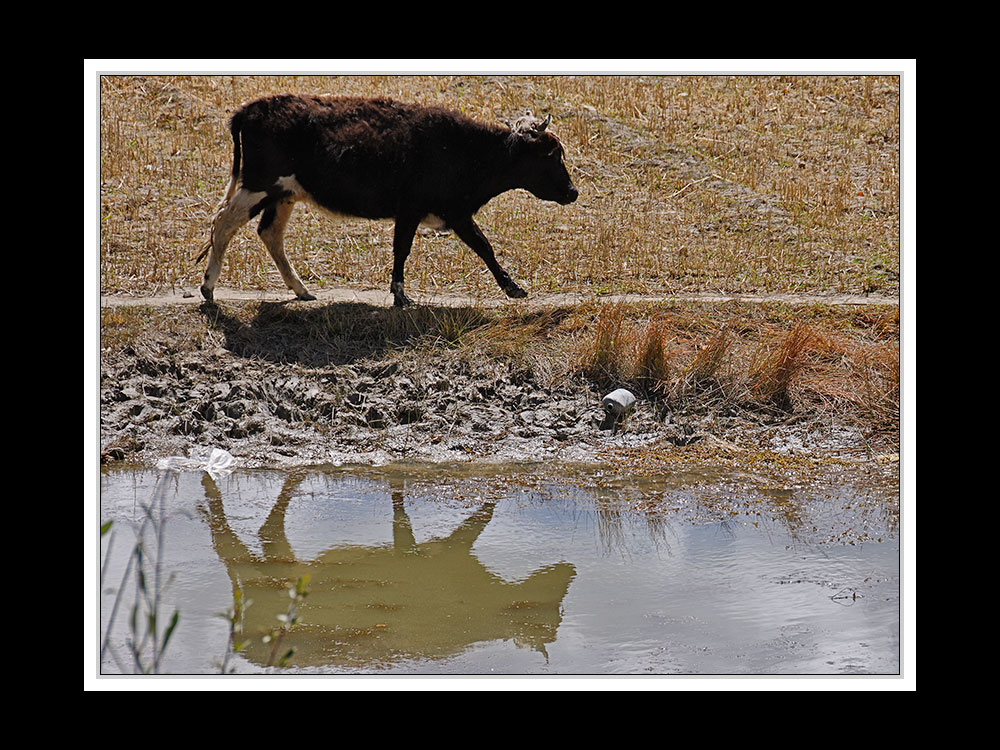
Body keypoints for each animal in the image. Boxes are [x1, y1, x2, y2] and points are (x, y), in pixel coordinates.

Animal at [195, 95, 580, 306]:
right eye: (551, 155)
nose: (573, 192)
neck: (463, 148)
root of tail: (248, 110)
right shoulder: (423, 209)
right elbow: (412, 249)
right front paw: (400, 295)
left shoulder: (447, 212)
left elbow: (480, 246)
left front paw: (513, 287)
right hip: (257, 186)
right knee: (223, 224)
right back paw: (208, 287)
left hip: (283, 194)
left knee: (269, 234)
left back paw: (302, 290)